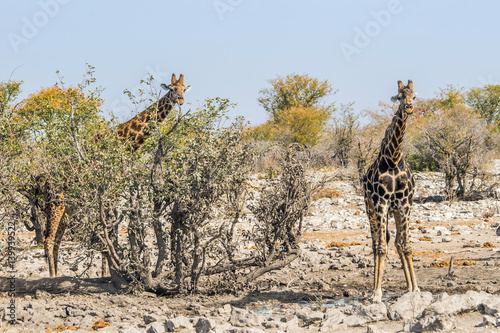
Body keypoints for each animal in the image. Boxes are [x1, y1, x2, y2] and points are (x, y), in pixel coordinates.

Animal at [39, 73, 190, 278]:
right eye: (172, 89)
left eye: (184, 89)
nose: (181, 100)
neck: (126, 142)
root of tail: (46, 182)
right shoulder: (109, 191)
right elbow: (108, 229)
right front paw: (110, 272)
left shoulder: (115, 191)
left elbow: (111, 229)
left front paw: (108, 273)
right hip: (56, 202)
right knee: (48, 238)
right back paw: (52, 277)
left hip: (70, 206)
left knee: (57, 238)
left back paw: (57, 274)